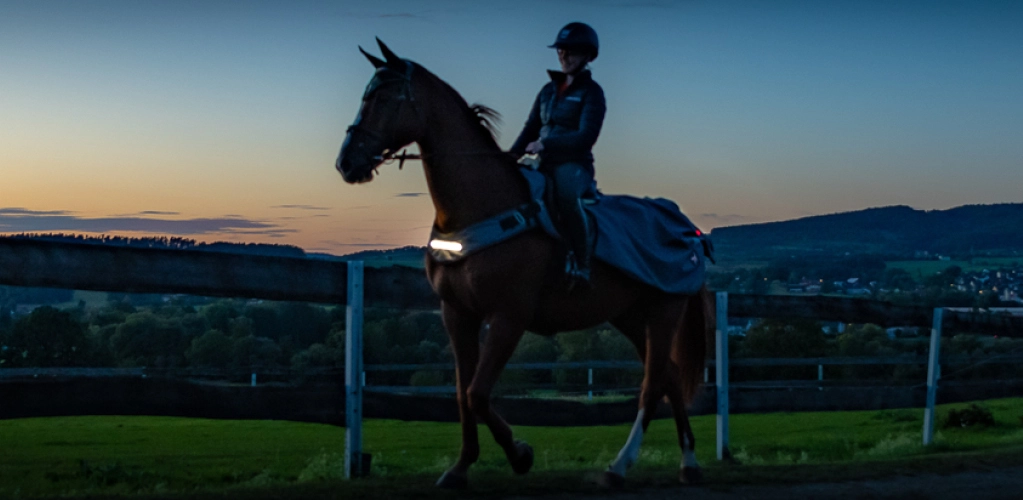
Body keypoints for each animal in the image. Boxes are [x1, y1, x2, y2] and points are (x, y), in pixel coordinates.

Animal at [335, 39, 713, 489]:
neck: (479, 208)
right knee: (670, 376)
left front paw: (520, 454)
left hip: (663, 312)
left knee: (653, 385)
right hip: (631, 316)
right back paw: (688, 462)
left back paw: (620, 467)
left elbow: (478, 393)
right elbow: (462, 394)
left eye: (383, 97)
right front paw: (460, 468)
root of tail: (687, 227)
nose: (346, 163)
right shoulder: (456, 315)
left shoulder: (508, 317)